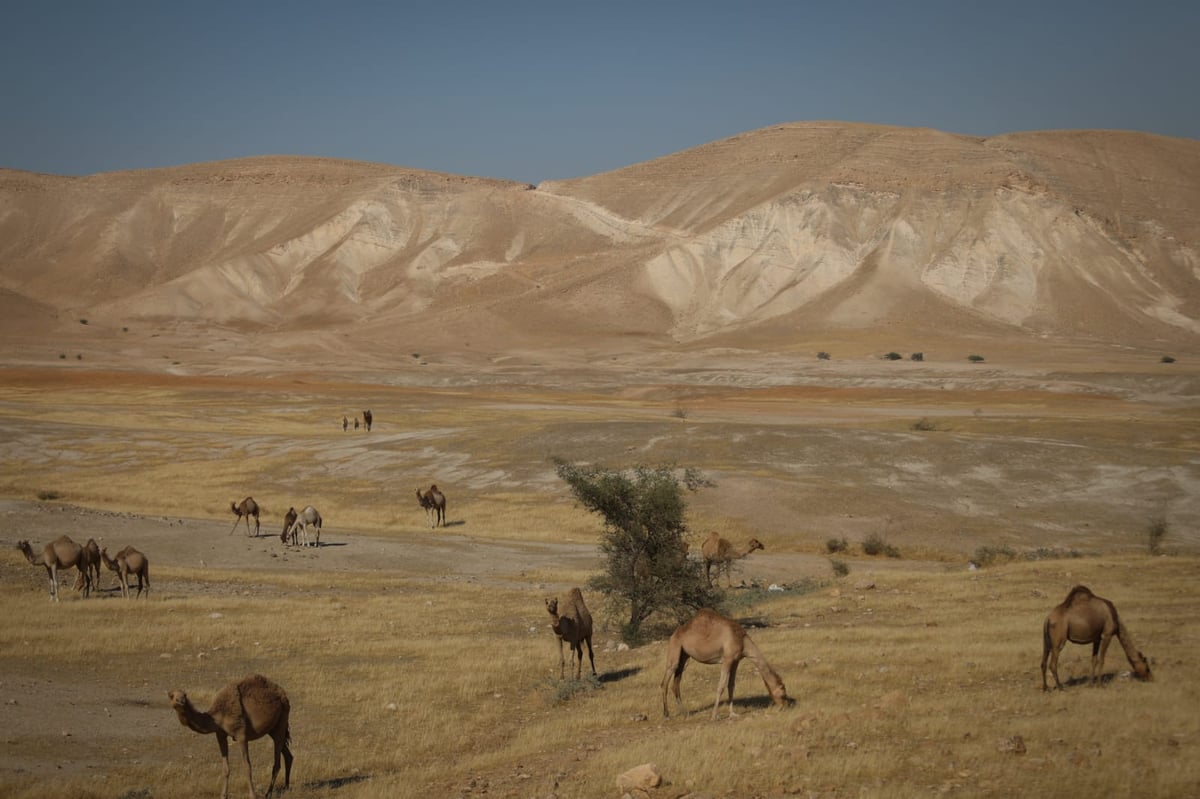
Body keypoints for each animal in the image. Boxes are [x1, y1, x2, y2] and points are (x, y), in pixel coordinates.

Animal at [662, 607, 792, 719]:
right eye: (783, 693)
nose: (785, 706)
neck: (742, 640)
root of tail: (674, 634)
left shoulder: (735, 661)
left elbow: (731, 685)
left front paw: (732, 713)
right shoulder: (727, 659)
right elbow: (721, 686)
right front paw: (714, 716)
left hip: (684, 656)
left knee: (676, 683)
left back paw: (685, 713)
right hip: (675, 648)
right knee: (665, 681)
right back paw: (666, 714)